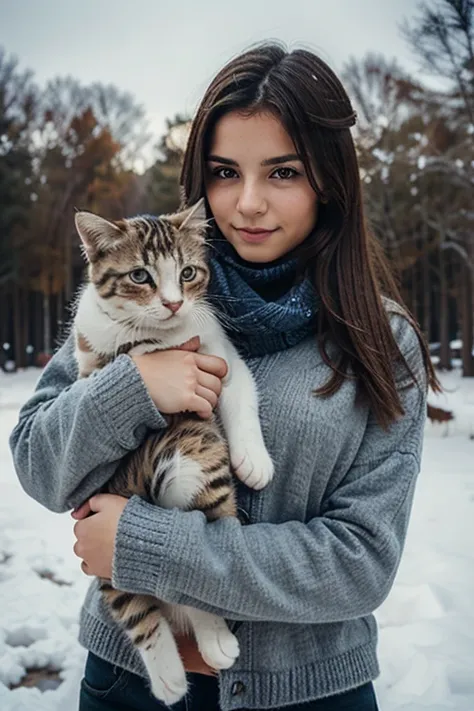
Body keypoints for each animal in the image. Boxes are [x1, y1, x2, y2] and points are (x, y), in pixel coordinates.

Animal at [73, 200, 274, 708]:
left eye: (187, 272)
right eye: (140, 276)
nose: (173, 304)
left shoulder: (219, 353)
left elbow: (241, 394)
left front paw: (255, 462)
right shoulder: (91, 348)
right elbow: (101, 372)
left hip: (195, 463)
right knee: (134, 601)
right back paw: (174, 672)